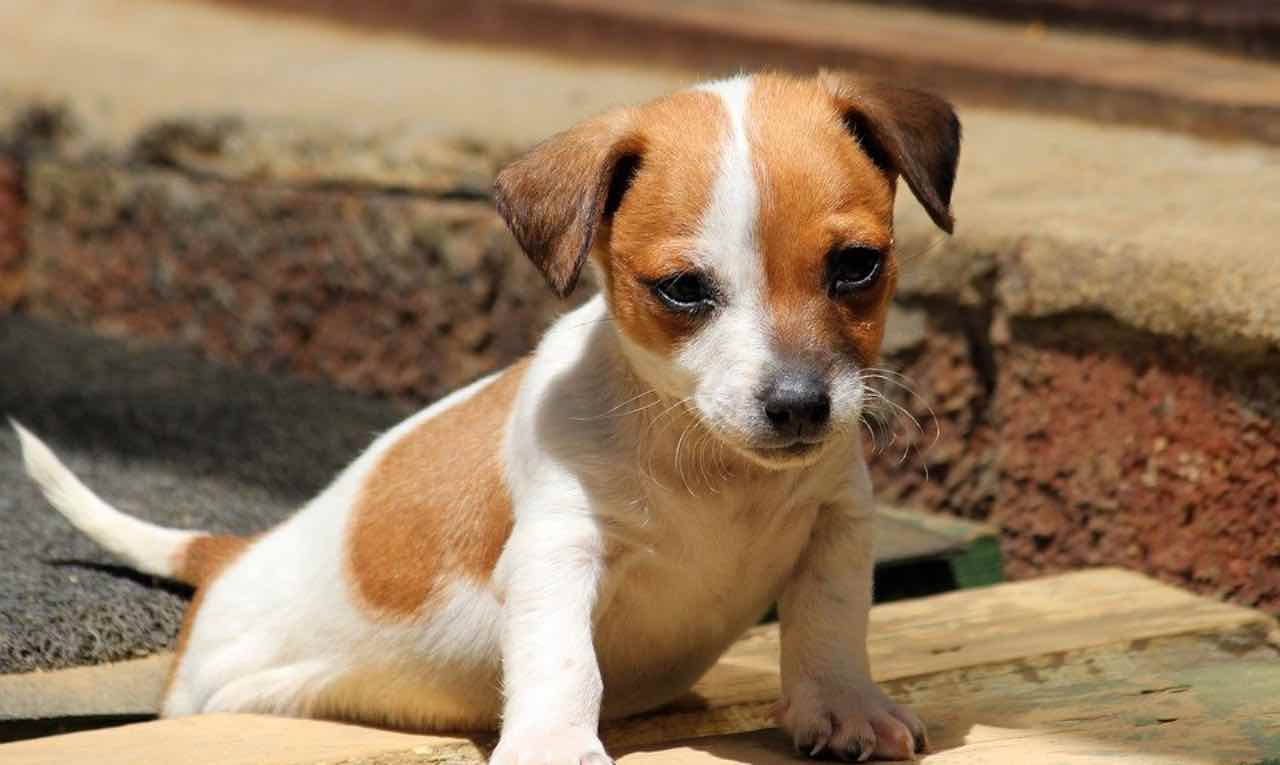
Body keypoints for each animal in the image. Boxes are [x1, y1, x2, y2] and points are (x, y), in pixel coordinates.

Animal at [15, 69, 957, 762]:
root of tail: (236, 553)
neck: (707, 460)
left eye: (857, 265)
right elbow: (563, 660)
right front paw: (553, 743)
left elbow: (830, 624)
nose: (799, 405)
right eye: (685, 289)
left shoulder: (837, 522)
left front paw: (843, 706)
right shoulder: (556, 551)